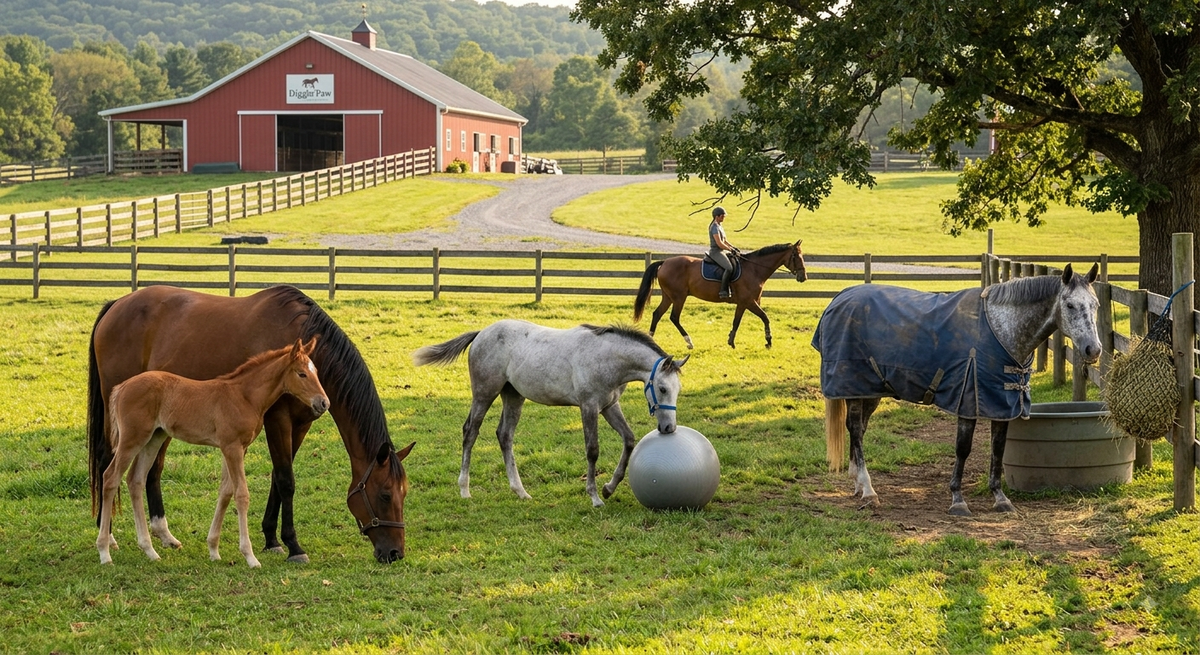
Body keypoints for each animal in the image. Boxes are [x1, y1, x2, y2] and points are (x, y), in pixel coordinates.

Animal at [96, 339, 329, 567]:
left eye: (317, 371)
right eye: (302, 373)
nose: (323, 402)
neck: (244, 396)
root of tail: (121, 387)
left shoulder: (235, 448)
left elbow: (225, 492)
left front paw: (213, 550)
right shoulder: (232, 447)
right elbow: (241, 494)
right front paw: (250, 556)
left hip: (154, 438)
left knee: (135, 480)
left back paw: (150, 551)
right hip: (132, 439)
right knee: (110, 477)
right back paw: (105, 552)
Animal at [412, 320, 689, 507]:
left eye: (677, 389)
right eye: (662, 388)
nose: (669, 428)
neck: (606, 358)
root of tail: (481, 333)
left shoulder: (609, 407)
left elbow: (629, 440)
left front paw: (609, 488)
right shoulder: (589, 407)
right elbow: (592, 450)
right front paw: (595, 497)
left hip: (513, 396)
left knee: (504, 435)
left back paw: (520, 491)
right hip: (484, 393)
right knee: (470, 432)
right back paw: (465, 490)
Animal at [633, 241, 807, 349]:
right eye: (796, 256)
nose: (803, 277)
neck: (754, 269)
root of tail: (665, 262)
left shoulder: (746, 303)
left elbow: (739, 321)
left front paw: (731, 340)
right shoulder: (748, 302)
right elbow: (763, 317)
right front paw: (768, 341)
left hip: (668, 297)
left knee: (657, 314)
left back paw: (651, 341)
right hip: (678, 297)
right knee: (674, 317)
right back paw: (689, 342)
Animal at [814, 263, 1102, 515]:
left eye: (1096, 305)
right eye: (1069, 305)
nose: (1093, 350)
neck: (1001, 330)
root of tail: (840, 298)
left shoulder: (1002, 405)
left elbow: (998, 449)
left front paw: (1000, 498)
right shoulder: (968, 401)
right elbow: (963, 449)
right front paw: (958, 500)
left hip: (870, 389)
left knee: (859, 429)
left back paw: (858, 484)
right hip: (852, 386)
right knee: (855, 429)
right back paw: (868, 489)